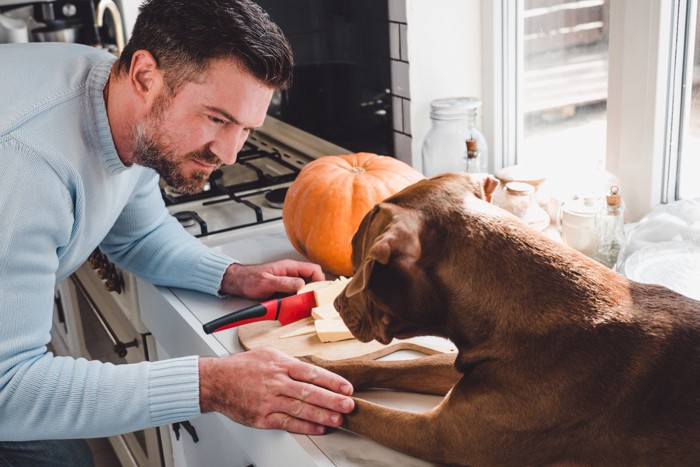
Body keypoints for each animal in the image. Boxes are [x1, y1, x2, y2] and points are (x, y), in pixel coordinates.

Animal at [308, 175, 700, 467]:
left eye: (360, 258)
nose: (338, 302)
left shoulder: (436, 435)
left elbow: (361, 409)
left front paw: (319, 400)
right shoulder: (463, 370)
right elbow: (387, 366)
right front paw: (318, 368)